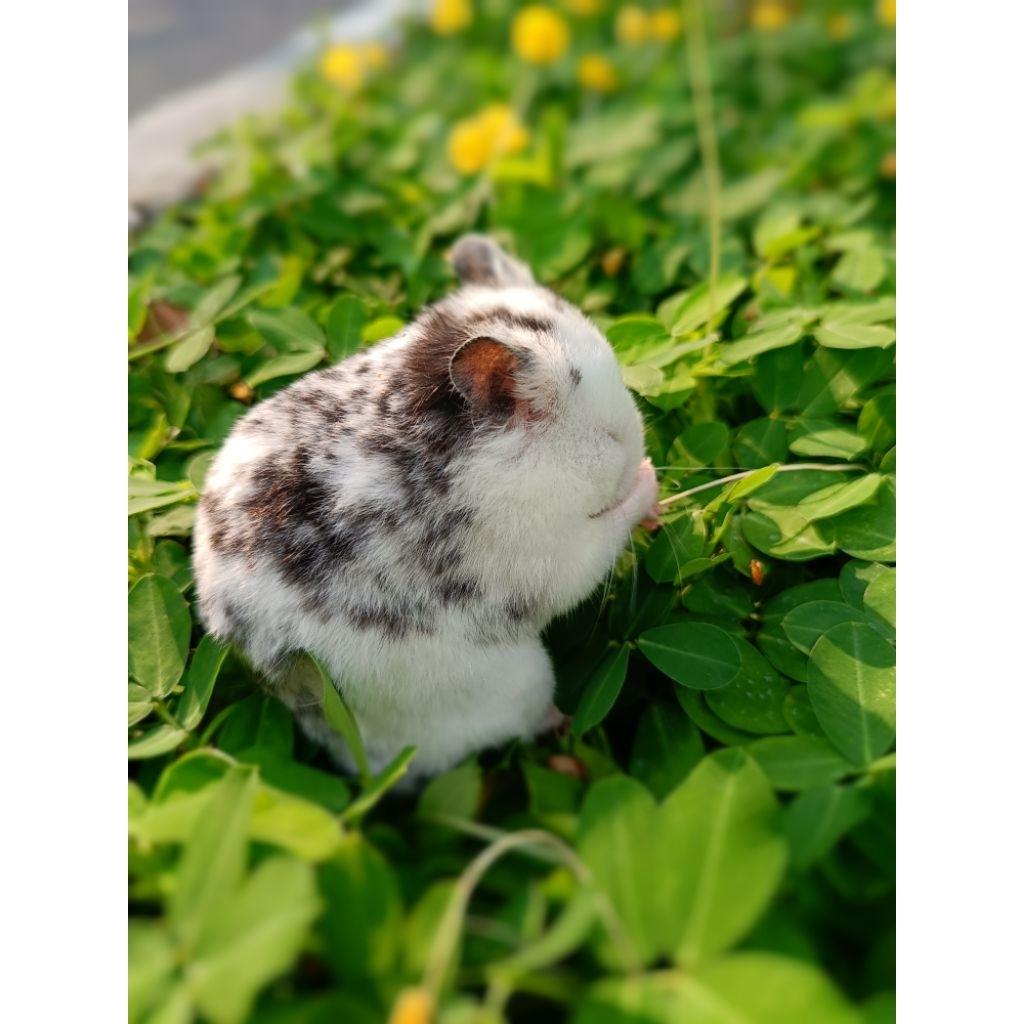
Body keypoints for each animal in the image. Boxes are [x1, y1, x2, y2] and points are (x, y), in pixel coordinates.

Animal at [192, 235, 659, 780]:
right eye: (610, 438)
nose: (638, 449)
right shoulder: (547, 558)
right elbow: (603, 537)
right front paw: (649, 480)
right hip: (519, 681)